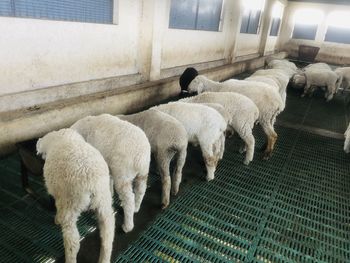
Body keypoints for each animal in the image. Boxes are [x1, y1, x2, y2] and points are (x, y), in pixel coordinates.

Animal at [36, 129, 115, 263]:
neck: (65, 137)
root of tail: (91, 184)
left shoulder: (60, 198)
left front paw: (57, 219)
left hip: (70, 205)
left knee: (72, 242)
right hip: (104, 201)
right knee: (108, 234)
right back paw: (104, 258)